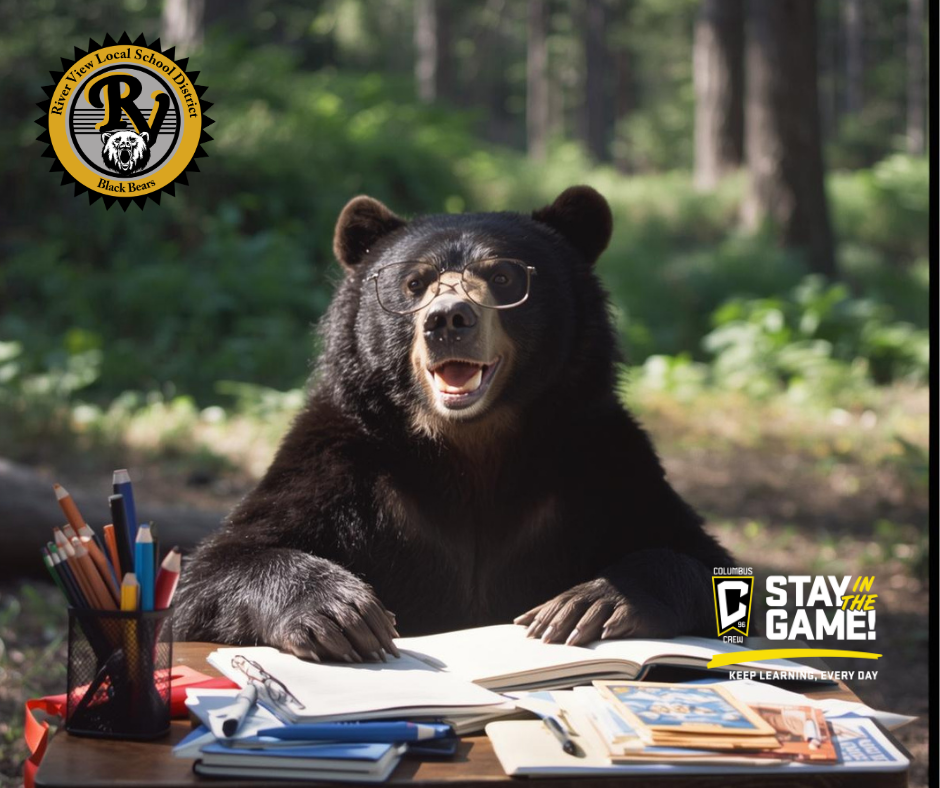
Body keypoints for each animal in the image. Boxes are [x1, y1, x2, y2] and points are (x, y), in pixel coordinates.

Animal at [173, 186, 734, 662]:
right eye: (414, 283)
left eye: (504, 277)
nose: (447, 319)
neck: (469, 442)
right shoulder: (342, 461)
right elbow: (218, 565)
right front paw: (343, 614)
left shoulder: (601, 463)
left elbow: (696, 555)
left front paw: (589, 603)